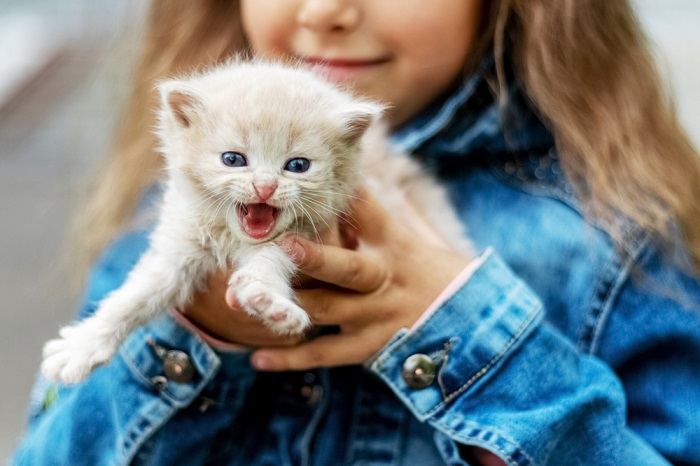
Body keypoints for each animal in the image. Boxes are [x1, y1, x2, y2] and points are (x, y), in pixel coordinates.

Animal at [41, 60, 474, 384]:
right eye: (233, 159)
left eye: (297, 165)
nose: (264, 186)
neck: (231, 237)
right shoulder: (180, 242)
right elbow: (136, 295)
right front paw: (82, 345)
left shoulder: (298, 239)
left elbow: (267, 267)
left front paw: (270, 303)